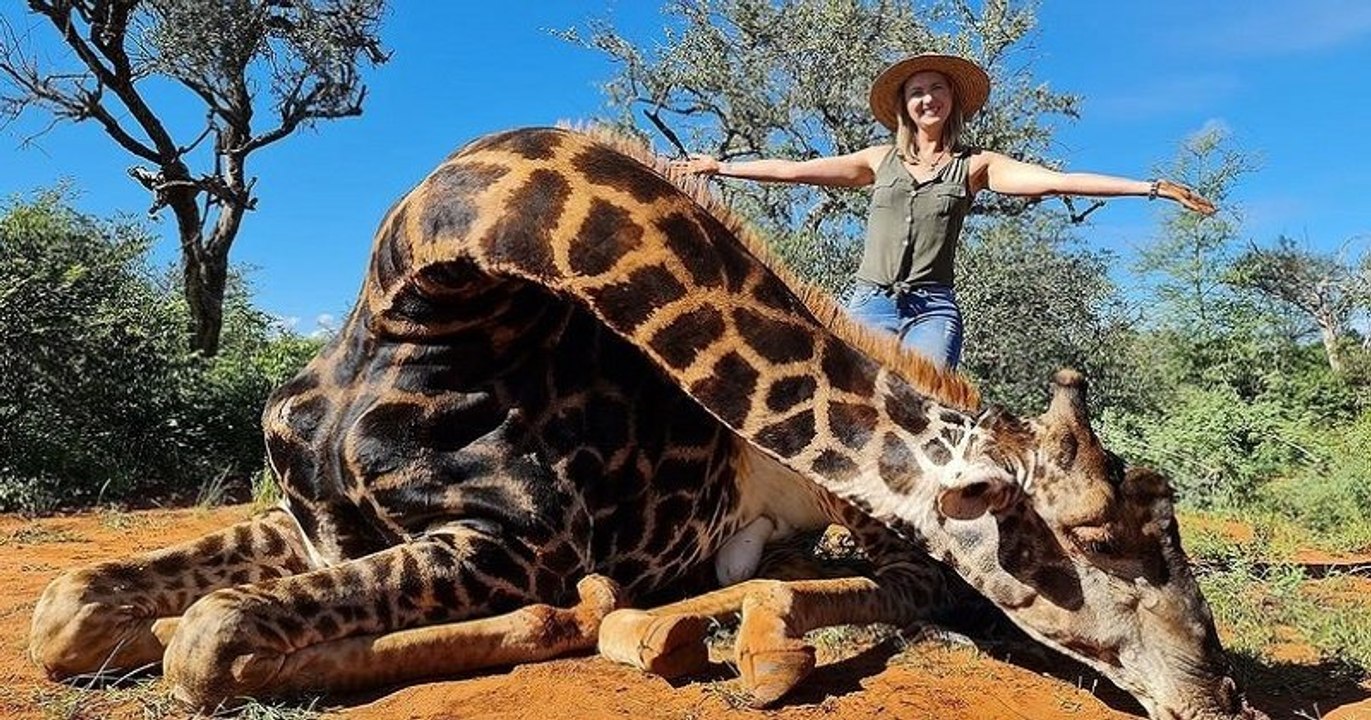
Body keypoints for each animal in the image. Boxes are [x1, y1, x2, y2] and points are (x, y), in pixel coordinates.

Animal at [27, 126, 1264, 720]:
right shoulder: (312, 521)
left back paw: (719, 638)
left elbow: (208, 643)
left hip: (858, 528)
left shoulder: (517, 544)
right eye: (1102, 539)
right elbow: (69, 611)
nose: (1221, 698)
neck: (418, 298)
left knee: (901, 587)